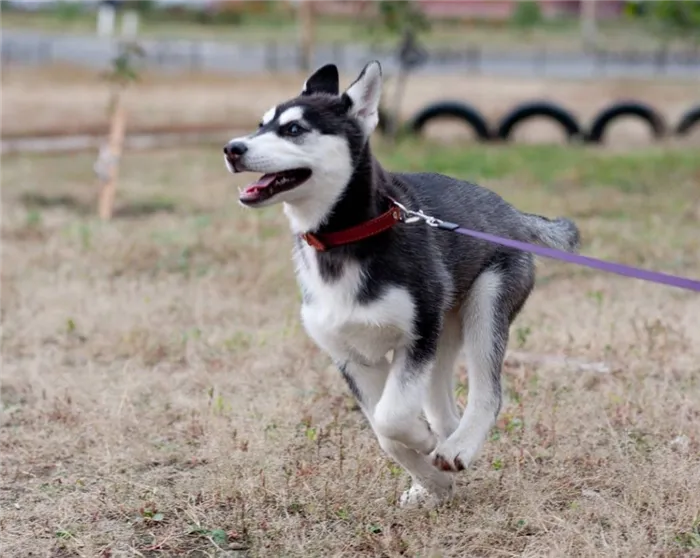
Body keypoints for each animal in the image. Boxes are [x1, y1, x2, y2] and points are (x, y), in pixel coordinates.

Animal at [224, 61, 580, 508]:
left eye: (293, 129)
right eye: (261, 124)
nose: (232, 148)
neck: (345, 238)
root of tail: (512, 212)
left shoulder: (416, 335)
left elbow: (391, 417)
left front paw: (423, 444)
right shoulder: (352, 356)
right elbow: (383, 431)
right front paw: (433, 480)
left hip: (484, 305)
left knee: (488, 393)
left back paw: (458, 447)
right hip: (445, 331)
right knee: (444, 409)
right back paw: (441, 457)